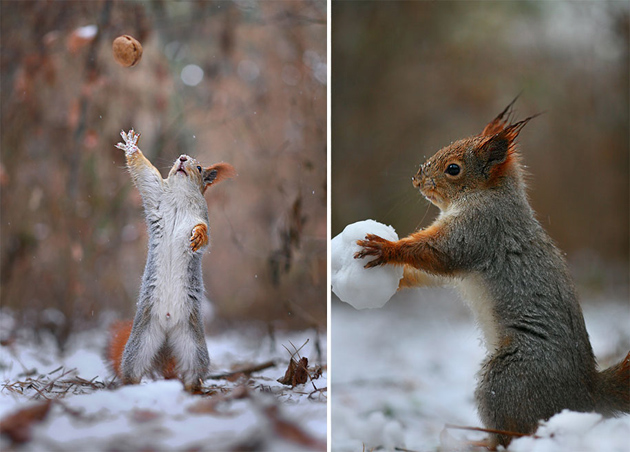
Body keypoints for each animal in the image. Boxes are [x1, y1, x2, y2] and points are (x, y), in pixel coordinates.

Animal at [108, 128, 237, 392]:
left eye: (199, 168)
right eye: (180, 158)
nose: (182, 158)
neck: (179, 195)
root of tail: (167, 330)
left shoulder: (202, 217)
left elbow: (205, 234)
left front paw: (198, 237)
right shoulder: (154, 192)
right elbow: (144, 173)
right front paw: (131, 146)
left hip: (193, 346)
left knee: (193, 372)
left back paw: (194, 390)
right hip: (141, 341)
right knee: (133, 369)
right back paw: (129, 387)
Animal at [356, 99, 630, 448]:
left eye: (453, 169)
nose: (417, 179)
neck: (489, 195)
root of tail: (585, 398)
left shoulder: (479, 230)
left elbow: (439, 254)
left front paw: (386, 248)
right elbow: (433, 274)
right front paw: (397, 280)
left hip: (508, 378)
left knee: (514, 433)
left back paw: (480, 443)